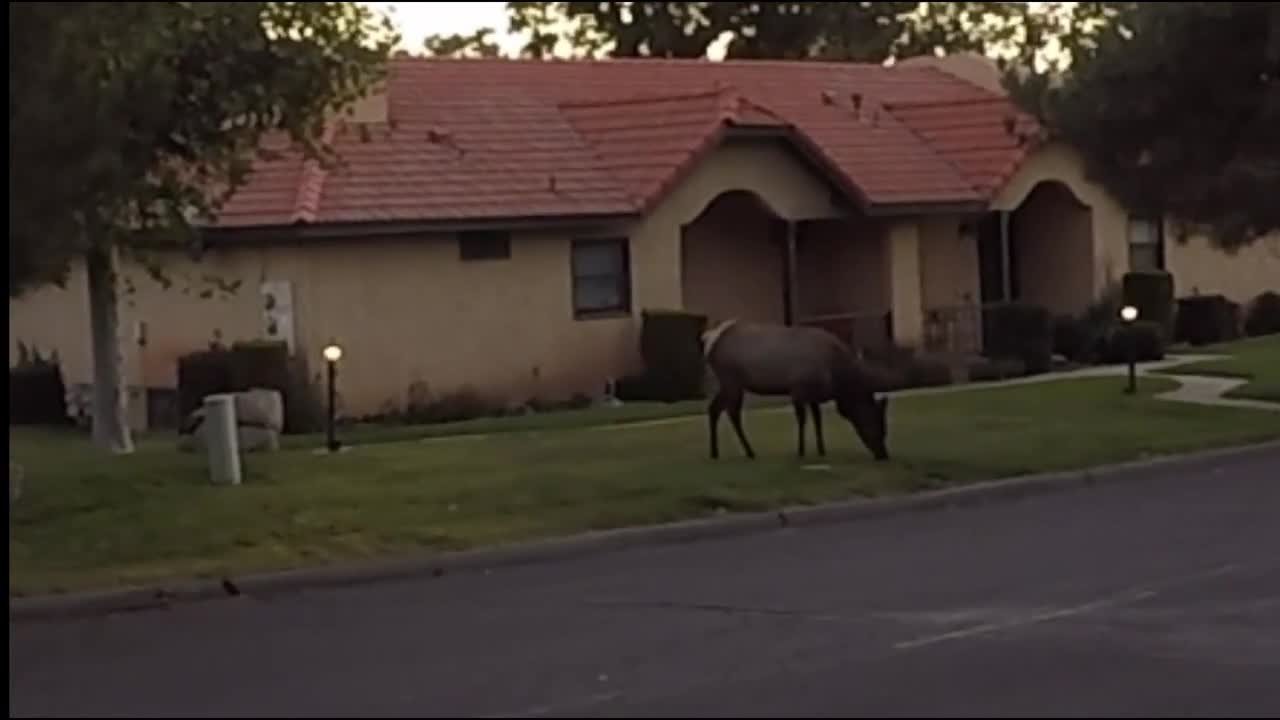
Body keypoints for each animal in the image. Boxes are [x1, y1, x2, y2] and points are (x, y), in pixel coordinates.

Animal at [701, 319, 890, 458]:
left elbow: (817, 420)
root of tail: (709, 343)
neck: (838, 381)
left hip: (728, 383)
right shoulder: (799, 389)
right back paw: (749, 451)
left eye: (885, 428)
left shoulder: (814, 395)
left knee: (714, 408)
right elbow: (802, 420)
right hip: (731, 380)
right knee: (732, 413)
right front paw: (801, 451)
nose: (883, 455)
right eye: (875, 424)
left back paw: (715, 452)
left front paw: (821, 450)